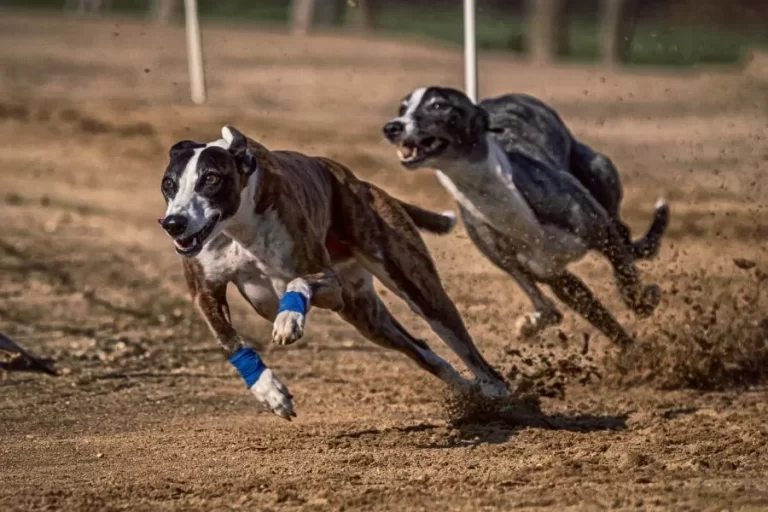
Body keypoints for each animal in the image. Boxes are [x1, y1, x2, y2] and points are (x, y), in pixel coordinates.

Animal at [159, 127, 510, 420]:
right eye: (169, 184)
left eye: (211, 179)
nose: (173, 223)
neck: (235, 227)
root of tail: (362, 184)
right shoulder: (205, 291)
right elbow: (230, 340)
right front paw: (270, 392)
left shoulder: (329, 282)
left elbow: (298, 281)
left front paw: (288, 320)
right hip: (366, 317)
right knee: (423, 350)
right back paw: (467, 391)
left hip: (413, 286)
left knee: (459, 340)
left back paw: (495, 390)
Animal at [380, 87, 668, 348]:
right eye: (402, 108)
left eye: (439, 105)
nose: (392, 127)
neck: (499, 195)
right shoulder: (554, 277)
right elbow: (598, 318)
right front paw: (633, 355)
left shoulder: (602, 234)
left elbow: (627, 281)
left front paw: (644, 301)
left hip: (599, 173)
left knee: (625, 234)